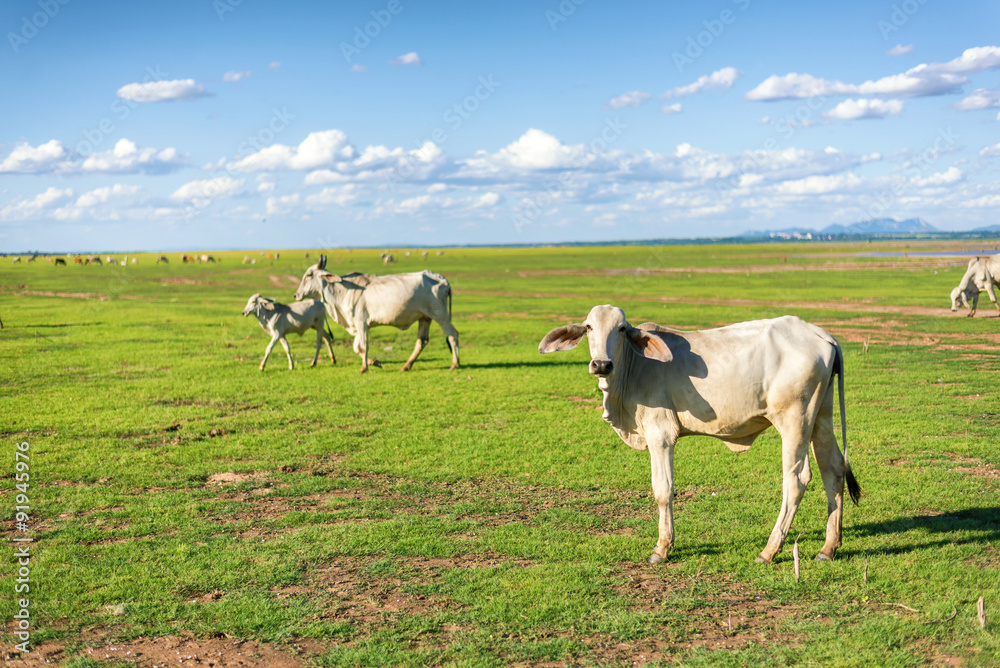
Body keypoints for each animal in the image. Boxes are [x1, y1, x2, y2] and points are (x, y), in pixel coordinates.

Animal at [292, 253, 458, 374]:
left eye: (309, 274)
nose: (296, 295)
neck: (342, 290)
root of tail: (443, 279)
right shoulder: (359, 325)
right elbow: (356, 348)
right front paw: (375, 362)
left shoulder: (361, 323)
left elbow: (363, 345)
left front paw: (364, 368)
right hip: (425, 318)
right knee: (421, 341)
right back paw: (406, 366)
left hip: (440, 315)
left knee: (452, 334)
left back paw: (455, 364)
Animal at [540, 306, 860, 564]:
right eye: (589, 327)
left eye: (621, 328)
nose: (602, 364)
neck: (635, 367)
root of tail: (821, 334)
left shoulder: (660, 434)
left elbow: (663, 490)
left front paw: (662, 548)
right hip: (821, 416)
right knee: (833, 470)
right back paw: (828, 548)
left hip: (795, 421)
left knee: (796, 480)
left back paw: (769, 551)